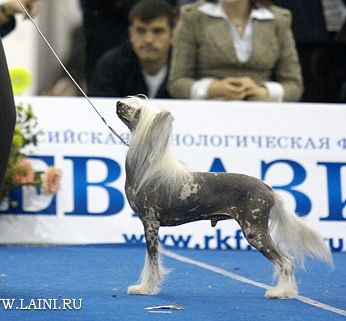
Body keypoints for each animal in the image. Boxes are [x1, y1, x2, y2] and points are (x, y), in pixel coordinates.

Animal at [116, 97, 332, 298]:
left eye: (137, 111)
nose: (118, 103)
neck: (147, 169)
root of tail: (268, 188)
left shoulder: (151, 223)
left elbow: (152, 261)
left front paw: (145, 289)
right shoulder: (150, 225)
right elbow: (150, 260)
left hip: (254, 231)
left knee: (286, 261)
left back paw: (281, 292)